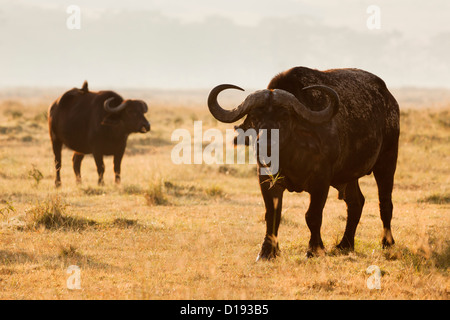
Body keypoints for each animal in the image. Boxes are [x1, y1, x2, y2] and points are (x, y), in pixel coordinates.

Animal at [206, 66, 400, 258]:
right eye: (254, 117)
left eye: (284, 117)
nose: (265, 144)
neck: (291, 155)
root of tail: (389, 100)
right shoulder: (266, 179)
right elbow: (272, 214)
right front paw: (268, 251)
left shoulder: (321, 180)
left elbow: (313, 215)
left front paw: (314, 249)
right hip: (349, 175)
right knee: (356, 203)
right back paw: (345, 244)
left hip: (387, 162)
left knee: (385, 203)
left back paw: (387, 243)